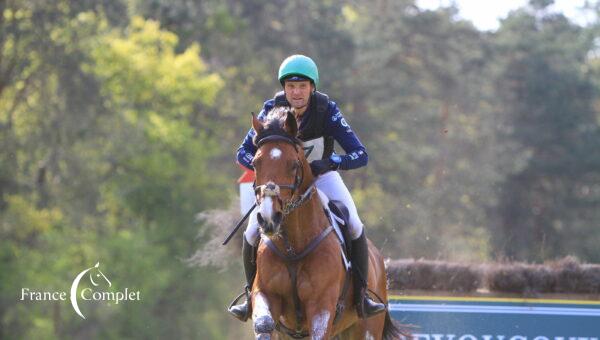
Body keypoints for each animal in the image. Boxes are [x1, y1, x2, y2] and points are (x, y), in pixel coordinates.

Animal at [248, 107, 404, 338]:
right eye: (255, 163)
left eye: (294, 164)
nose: (269, 218)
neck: (292, 248)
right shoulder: (265, 294)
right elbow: (264, 323)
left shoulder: (321, 306)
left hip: (366, 327)